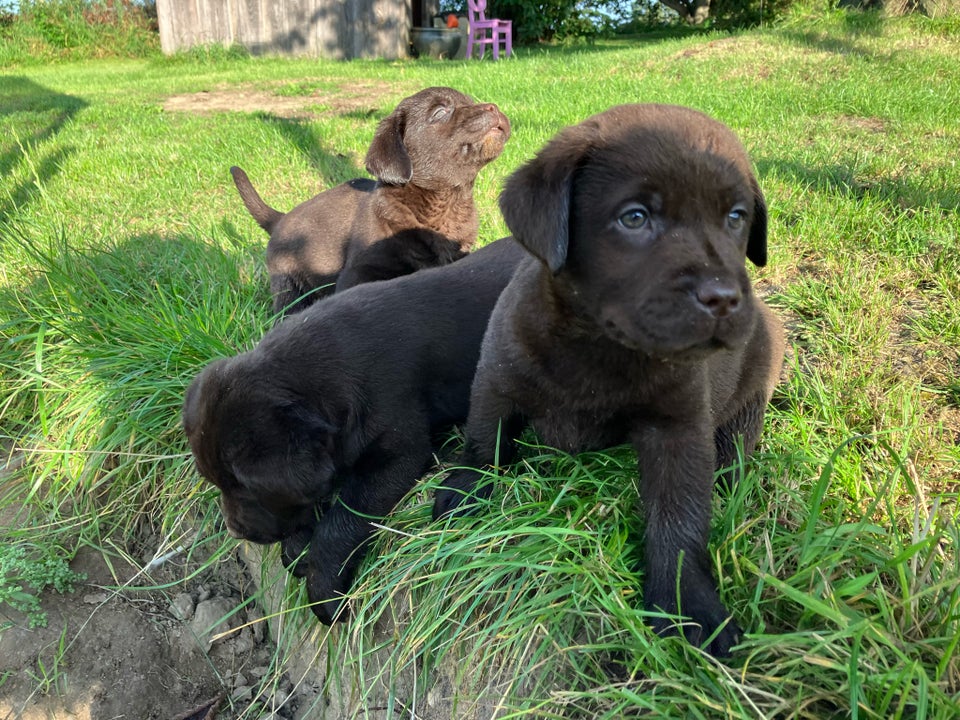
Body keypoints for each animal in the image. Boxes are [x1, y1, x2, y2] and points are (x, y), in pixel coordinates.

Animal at [180, 238, 524, 624]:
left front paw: (324, 591)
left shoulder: (397, 456)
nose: (236, 530)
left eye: (248, 490)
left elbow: (340, 521)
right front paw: (297, 547)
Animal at [231, 85, 510, 316]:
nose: (493, 107)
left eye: (470, 102)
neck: (447, 202)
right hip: (287, 282)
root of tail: (280, 219)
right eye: (441, 111)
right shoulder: (358, 271)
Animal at [432, 102, 784, 660]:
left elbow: (679, 519)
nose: (725, 299)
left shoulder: (679, 429)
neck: (600, 347)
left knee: (738, 444)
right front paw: (465, 488)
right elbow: (484, 438)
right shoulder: (497, 374)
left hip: (753, 387)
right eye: (634, 217)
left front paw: (687, 602)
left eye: (736, 217)